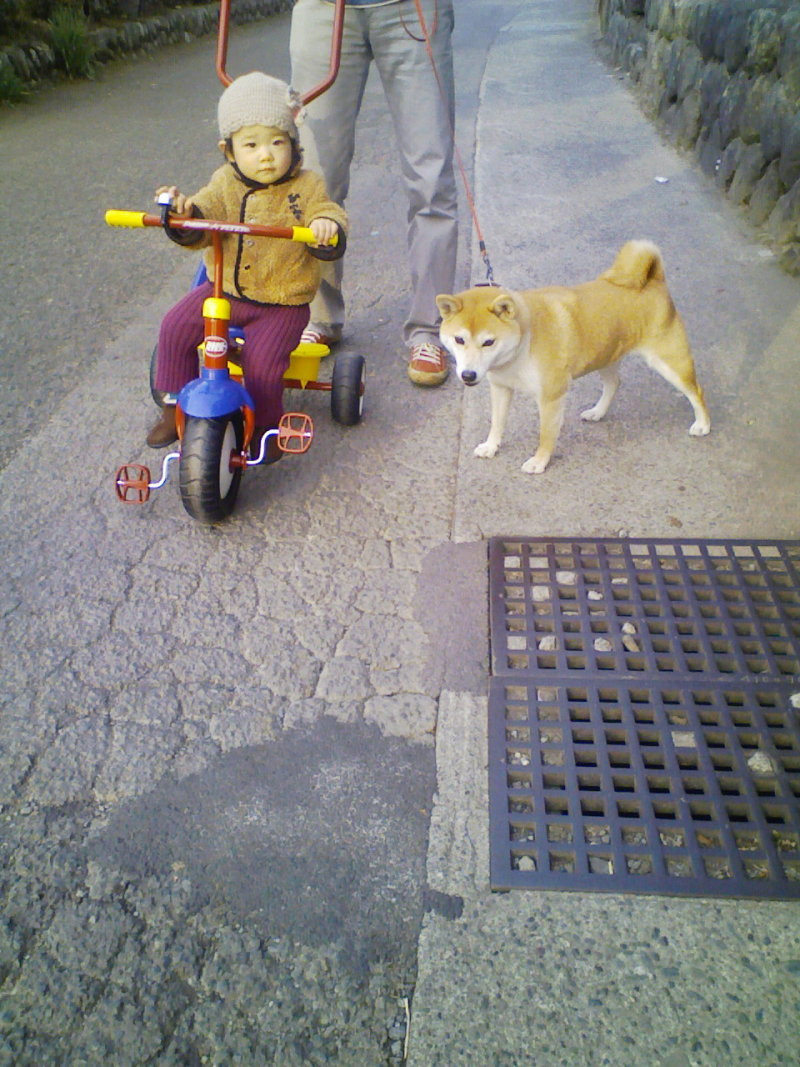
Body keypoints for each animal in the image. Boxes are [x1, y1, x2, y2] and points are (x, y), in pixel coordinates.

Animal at [439, 244, 712, 478]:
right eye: (459, 340)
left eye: (488, 342)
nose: (468, 375)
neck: (523, 344)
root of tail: (654, 281)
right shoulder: (501, 387)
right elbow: (496, 422)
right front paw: (491, 446)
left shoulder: (551, 396)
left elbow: (546, 435)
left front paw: (539, 461)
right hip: (606, 355)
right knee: (614, 383)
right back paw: (598, 412)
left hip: (670, 362)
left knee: (696, 391)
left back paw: (702, 424)